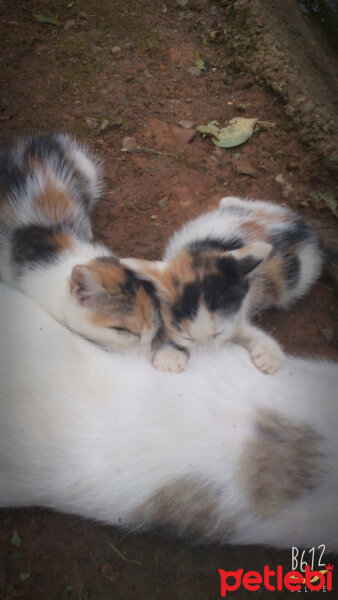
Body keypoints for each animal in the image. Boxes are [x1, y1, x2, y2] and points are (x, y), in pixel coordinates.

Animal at [123, 197, 324, 372]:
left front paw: (269, 354)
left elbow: (241, 330)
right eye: (187, 337)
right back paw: (228, 201)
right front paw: (171, 354)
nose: (205, 358)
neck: (204, 248)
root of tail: (299, 224)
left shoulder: (238, 310)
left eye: (217, 334)